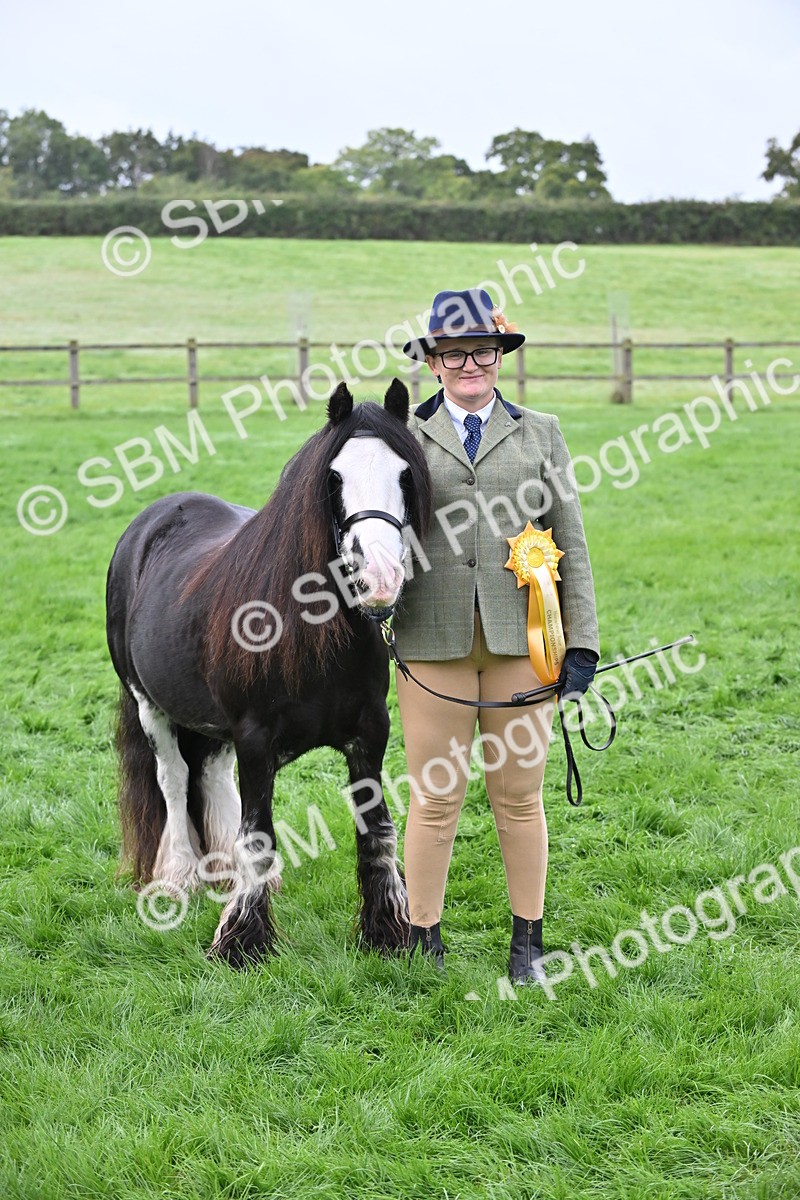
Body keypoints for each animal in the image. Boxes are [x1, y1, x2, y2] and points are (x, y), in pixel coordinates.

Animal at [106, 379, 432, 968]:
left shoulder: (370, 734)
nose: (378, 578)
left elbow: (377, 830)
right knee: (174, 779)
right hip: (150, 704)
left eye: (405, 475)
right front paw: (243, 942)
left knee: (209, 776)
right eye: (333, 479)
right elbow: (257, 836)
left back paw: (220, 873)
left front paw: (387, 931)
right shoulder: (256, 740)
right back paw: (180, 877)